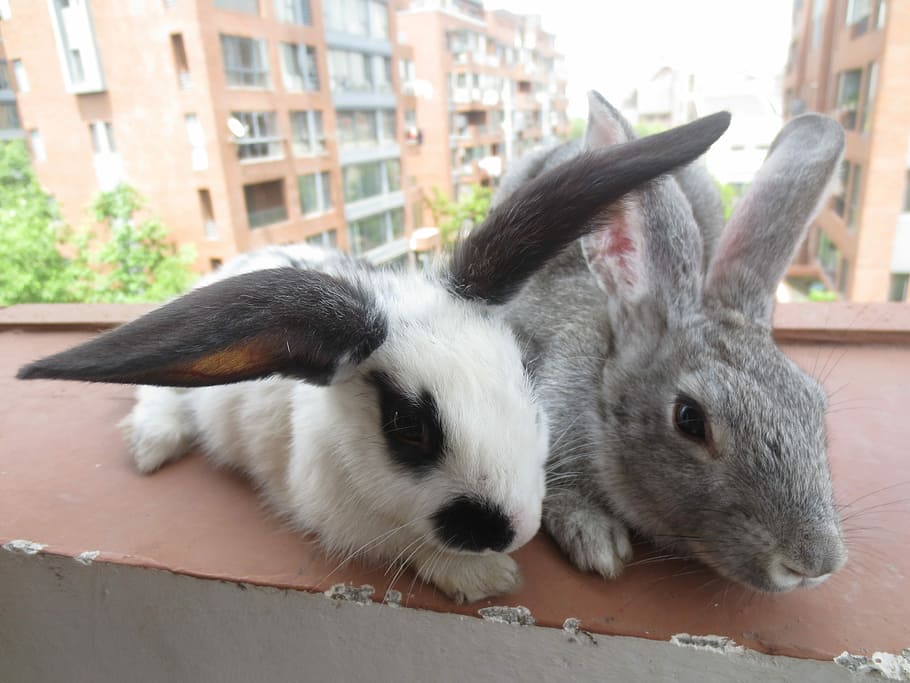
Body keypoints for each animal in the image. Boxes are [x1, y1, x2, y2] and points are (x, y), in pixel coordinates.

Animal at [16, 111, 731, 603]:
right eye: (407, 426)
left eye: (525, 379)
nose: (513, 529)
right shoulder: (336, 514)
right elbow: (402, 545)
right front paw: (484, 577)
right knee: (158, 393)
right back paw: (151, 446)